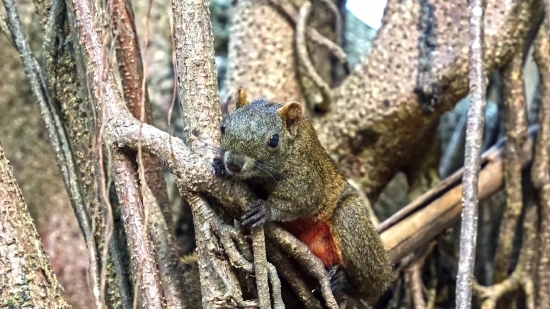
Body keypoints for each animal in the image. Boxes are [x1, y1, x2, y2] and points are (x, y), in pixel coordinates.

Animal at [212, 88, 396, 304]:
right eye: (224, 126)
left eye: (273, 140)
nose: (233, 164)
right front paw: (219, 165)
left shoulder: (308, 179)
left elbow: (301, 199)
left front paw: (265, 209)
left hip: (353, 225)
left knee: (369, 288)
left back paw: (345, 282)